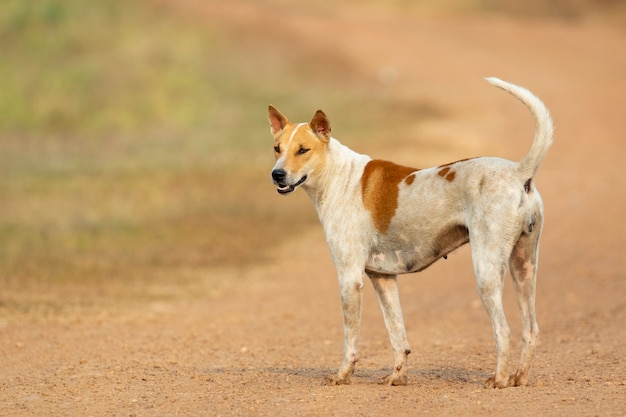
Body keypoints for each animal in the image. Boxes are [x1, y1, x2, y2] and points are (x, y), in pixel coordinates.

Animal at [266, 78, 552, 386]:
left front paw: (342, 375)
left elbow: (350, 341)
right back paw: (519, 377)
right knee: (531, 330)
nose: (277, 175)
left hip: (487, 272)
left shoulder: (350, 278)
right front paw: (397, 376)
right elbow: (397, 336)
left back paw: (498, 380)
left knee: (503, 330)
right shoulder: (384, 279)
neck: (339, 177)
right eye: (277, 148)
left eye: (303, 150)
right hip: (524, 268)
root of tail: (518, 172)